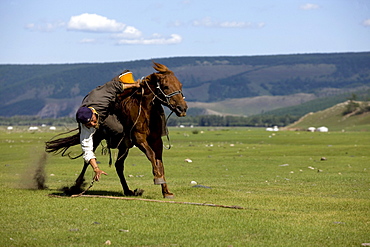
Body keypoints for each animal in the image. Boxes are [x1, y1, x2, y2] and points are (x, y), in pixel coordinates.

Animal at [46, 62, 188, 199]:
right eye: (166, 86)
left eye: (180, 85)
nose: (182, 108)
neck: (146, 111)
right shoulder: (139, 139)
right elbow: (151, 155)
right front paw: (158, 178)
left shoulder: (156, 140)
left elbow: (159, 161)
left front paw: (166, 191)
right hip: (96, 138)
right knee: (88, 159)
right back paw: (75, 187)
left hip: (124, 146)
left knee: (118, 165)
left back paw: (128, 190)